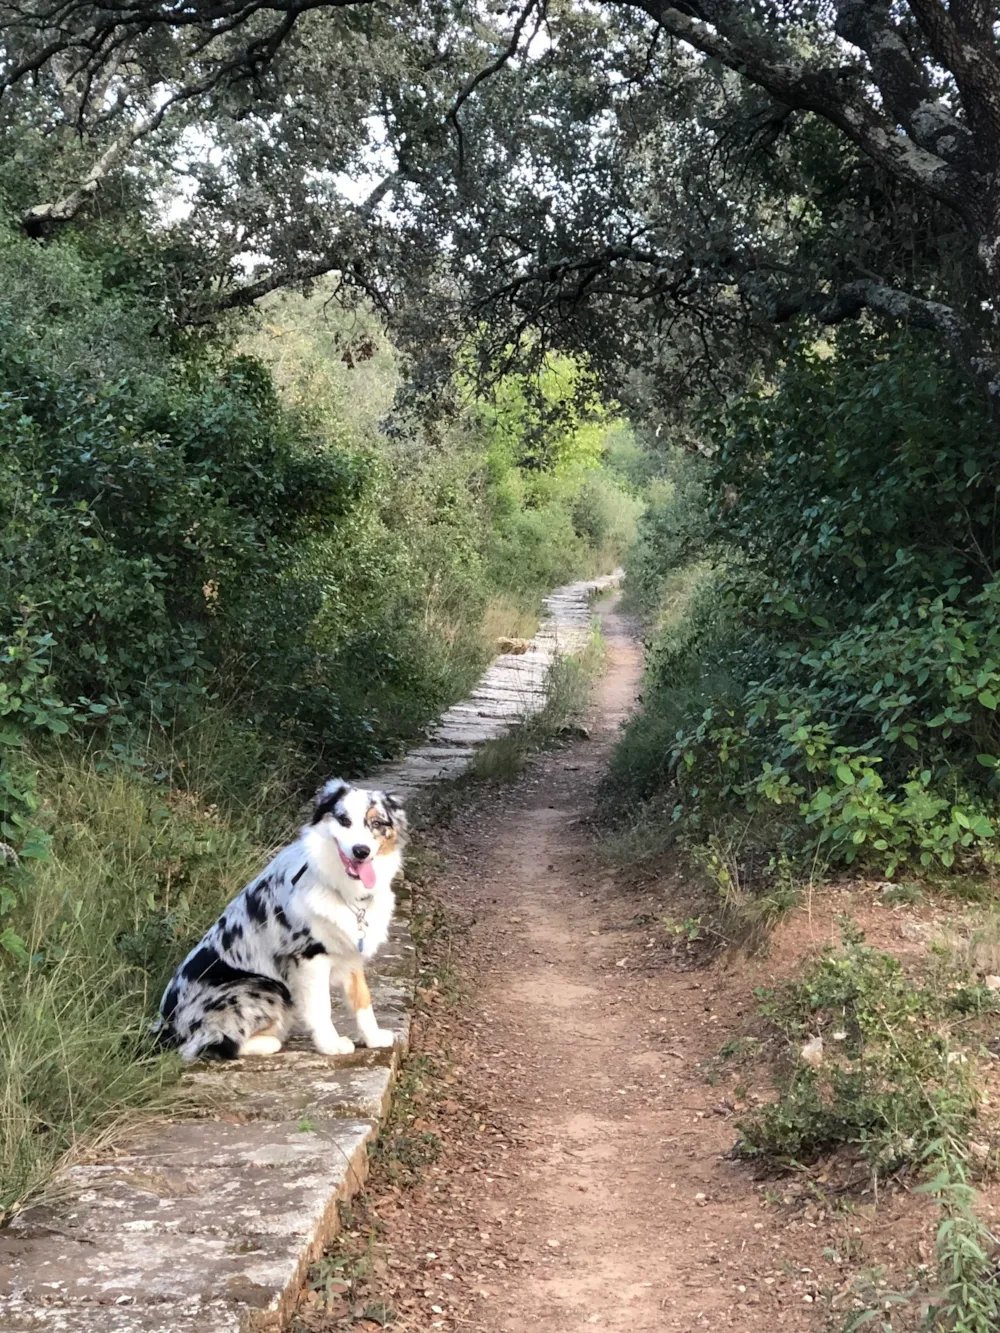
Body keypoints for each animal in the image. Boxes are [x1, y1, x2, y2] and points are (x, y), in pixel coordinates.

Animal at [157, 778, 408, 1061]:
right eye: (344, 820)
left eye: (376, 823)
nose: (361, 851)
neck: (339, 886)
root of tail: (167, 1028)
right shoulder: (309, 957)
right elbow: (321, 1007)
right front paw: (331, 1045)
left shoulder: (350, 952)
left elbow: (362, 1000)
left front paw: (373, 1038)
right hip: (262, 987)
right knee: (207, 1044)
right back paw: (272, 1041)